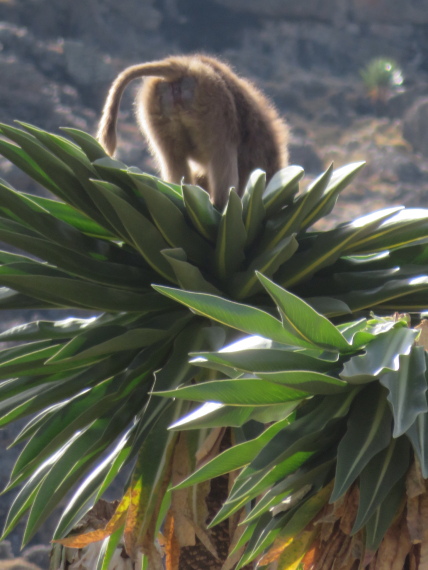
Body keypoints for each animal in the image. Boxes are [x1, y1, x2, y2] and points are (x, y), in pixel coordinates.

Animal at [97, 54, 290, 210]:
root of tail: (185, 65)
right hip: (215, 104)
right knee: (222, 152)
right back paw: (220, 204)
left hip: (158, 108)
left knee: (173, 157)